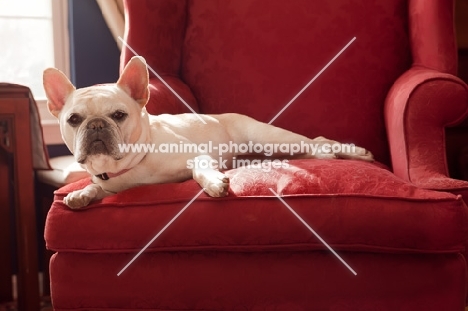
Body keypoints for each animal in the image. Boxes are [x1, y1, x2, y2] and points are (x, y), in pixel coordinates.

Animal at [44, 57, 372, 211]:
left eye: (119, 115)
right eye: (74, 119)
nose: (96, 125)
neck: (133, 164)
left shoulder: (196, 155)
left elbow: (200, 169)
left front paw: (214, 183)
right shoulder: (109, 185)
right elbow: (94, 187)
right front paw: (80, 194)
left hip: (271, 138)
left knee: (319, 142)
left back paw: (354, 152)